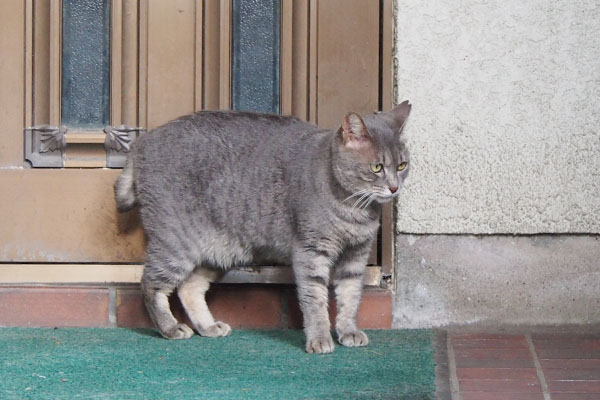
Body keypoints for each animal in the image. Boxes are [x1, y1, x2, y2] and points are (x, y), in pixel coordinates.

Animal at [114, 101, 410, 354]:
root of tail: (143, 141)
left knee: (189, 287)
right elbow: (315, 299)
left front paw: (348, 331)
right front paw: (319, 338)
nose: (395, 187)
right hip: (176, 245)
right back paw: (169, 327)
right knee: (150, 284)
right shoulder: (311, 252)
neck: (355, 210)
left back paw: (208, 326)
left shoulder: (356, 255)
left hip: (218, 251)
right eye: (377, 167)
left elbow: (350, 296)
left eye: (403, 165)